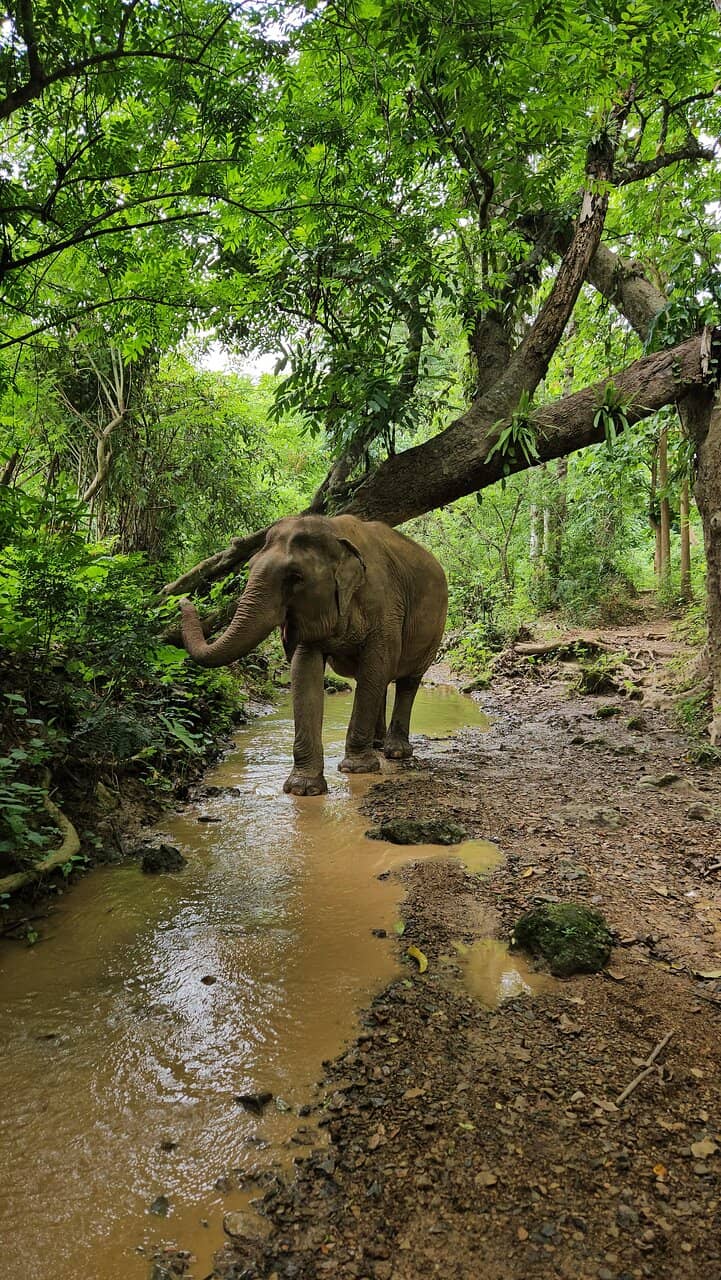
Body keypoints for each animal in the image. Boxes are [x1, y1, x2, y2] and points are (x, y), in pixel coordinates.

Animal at [179, 514, 448, 795]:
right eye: (249, 566)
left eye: (295, 576)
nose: (183, 600)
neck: (334, 530)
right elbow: (305, 670)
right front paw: (303, 789)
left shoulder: (385, 607)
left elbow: (376, 663)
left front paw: (356, 769)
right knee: (381, 681)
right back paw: (377, 744)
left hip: (434, 628)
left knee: (406, 680)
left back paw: (395, 752)